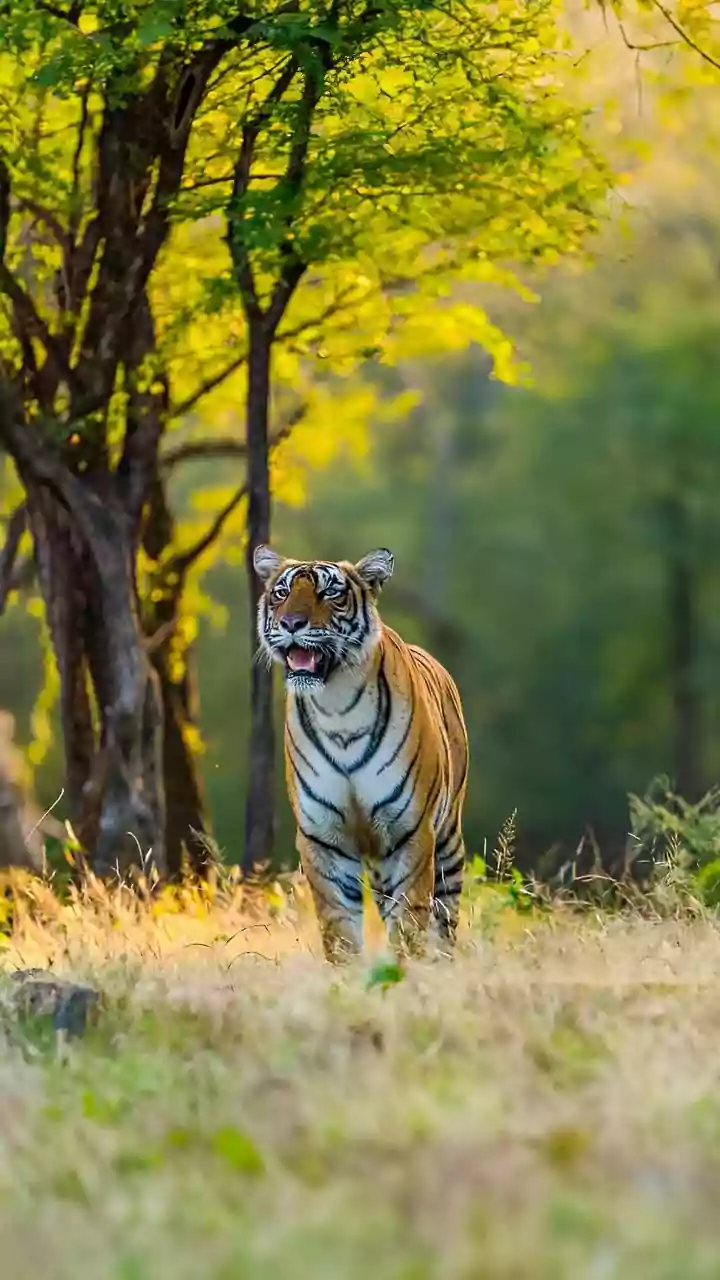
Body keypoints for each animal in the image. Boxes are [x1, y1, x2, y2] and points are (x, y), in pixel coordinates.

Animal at [254, 545, 469, 962]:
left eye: (329, 593)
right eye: (281, 593)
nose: (291, 623)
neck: (337, 707)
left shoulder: (410, 831)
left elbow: (409, 921)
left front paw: (406, 969)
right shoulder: (322, 837)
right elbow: (338, 926)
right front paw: (349, 973)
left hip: (448, 838)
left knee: (445, 915)